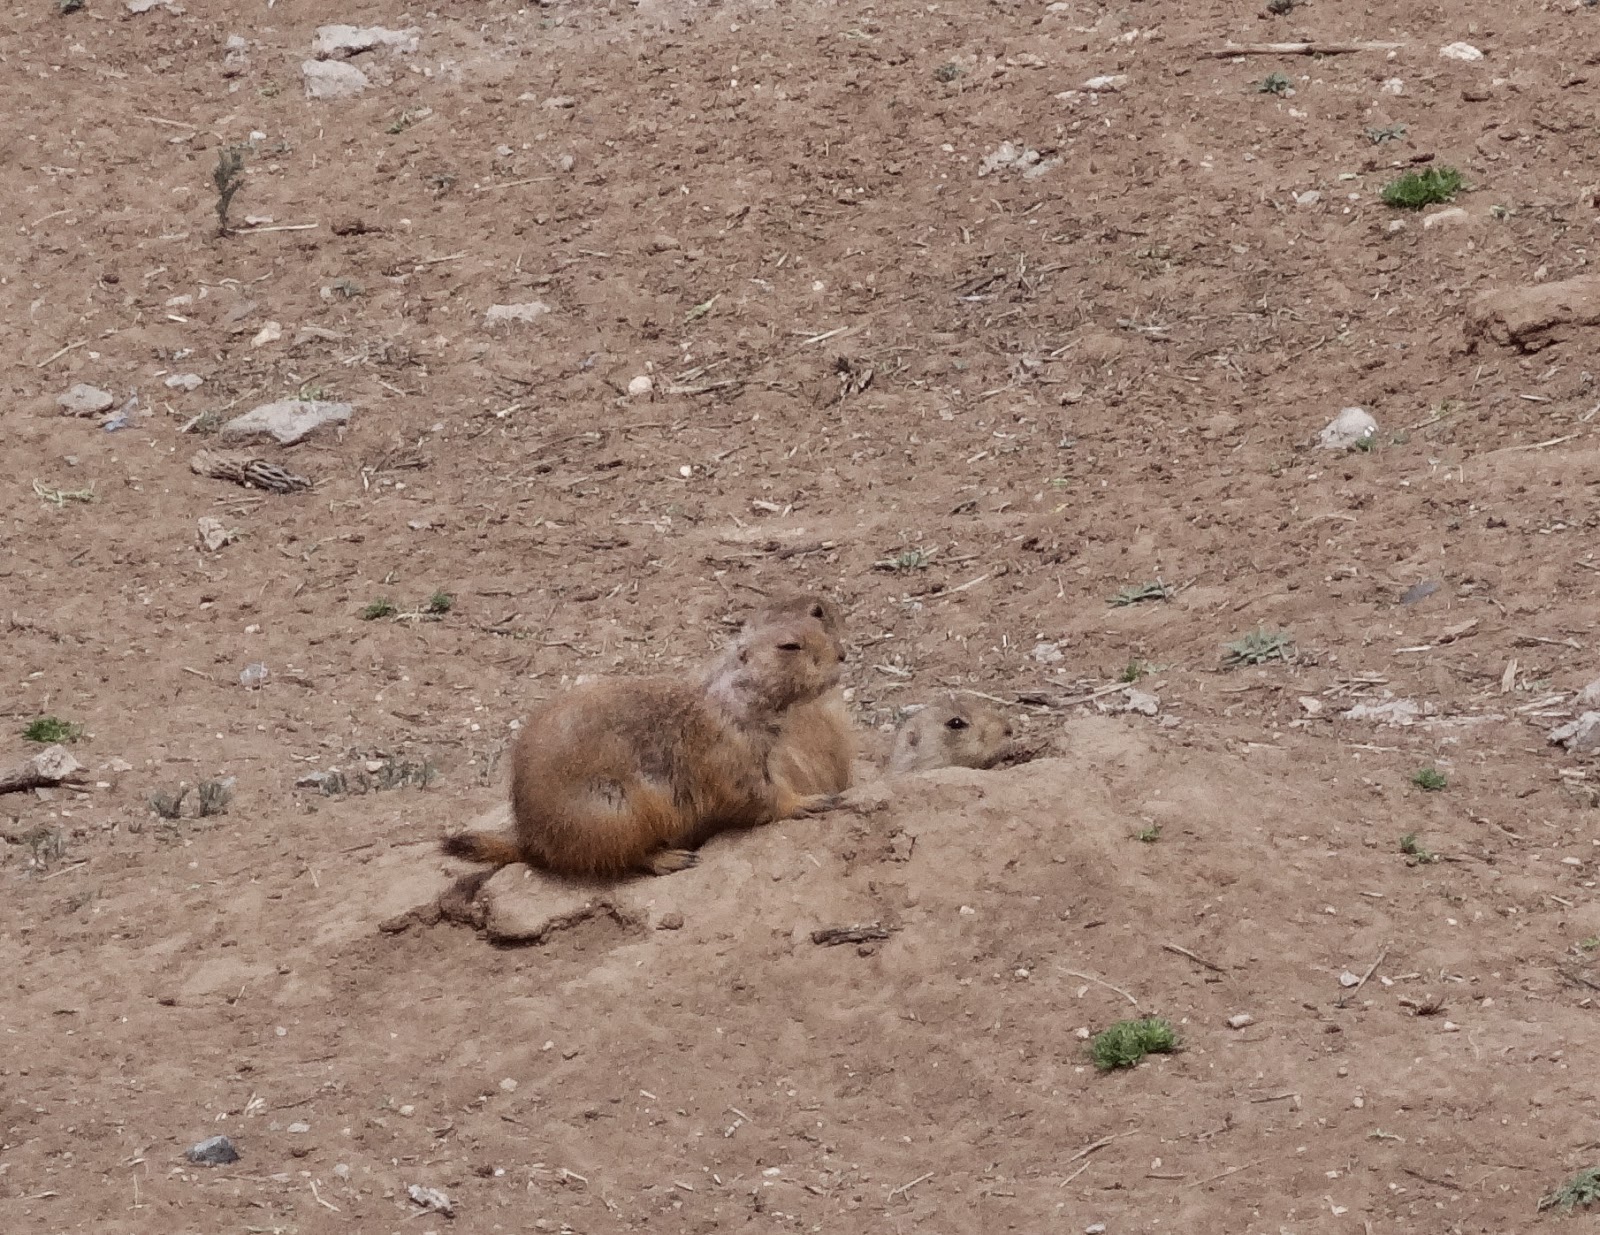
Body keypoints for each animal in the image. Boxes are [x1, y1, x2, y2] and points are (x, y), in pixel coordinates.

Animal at [440, 614, 846, 878]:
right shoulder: (725, 749)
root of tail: (530, 839)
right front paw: (810, 801)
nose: (842, 655)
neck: (734, 700)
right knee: (623, 857)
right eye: (789, 646)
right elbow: (753, 793)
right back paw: (670, 859)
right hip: (614, 812)